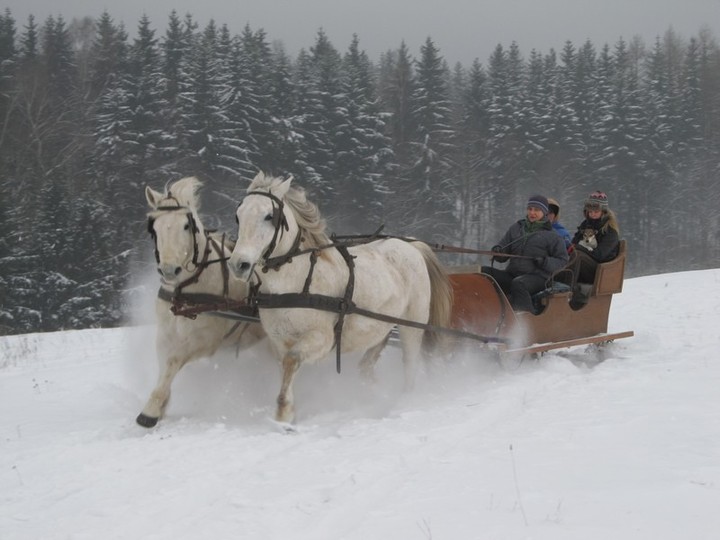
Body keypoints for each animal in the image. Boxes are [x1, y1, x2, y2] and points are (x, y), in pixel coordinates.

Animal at [139, 176, 266, 426]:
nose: (169, 271)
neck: (185, 291)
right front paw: (162, 403)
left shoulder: (206, 340)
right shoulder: (165, 334)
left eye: (186, 226)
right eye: (153, 227)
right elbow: (163, 366)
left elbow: (173, 361)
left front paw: (151, 410)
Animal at [228, 175, 452, 424]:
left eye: (269, 216)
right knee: (369, 362)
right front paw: (290, 412)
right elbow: (285, 370)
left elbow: (291, 361)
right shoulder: (279, 341)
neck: (297, 280)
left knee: (410, 365)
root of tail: (412, 245)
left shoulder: (322, 339)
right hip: (382, 324)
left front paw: (283, 413)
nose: (239, 264)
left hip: (412, 326)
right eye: (238, 216)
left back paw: (404, 401)